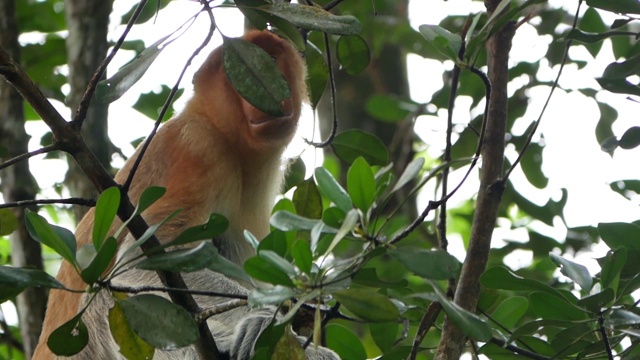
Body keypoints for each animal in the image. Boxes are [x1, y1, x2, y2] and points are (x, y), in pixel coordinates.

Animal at [33, 30, 340, 360]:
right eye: (236, 71)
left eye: (270, 60)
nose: (265, 92)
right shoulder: (199, 148)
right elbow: (143, 260)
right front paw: (261, 322)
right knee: (113, 297)